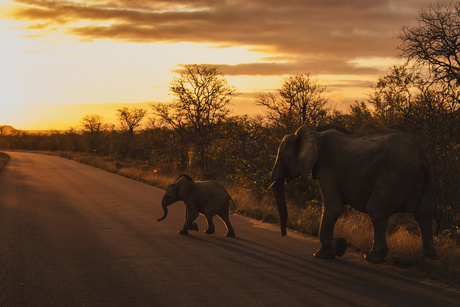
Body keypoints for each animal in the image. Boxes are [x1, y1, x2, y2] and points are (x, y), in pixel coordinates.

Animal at [270, 125, 438, 264]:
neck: (316, 135)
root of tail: (423, 159)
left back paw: (372, 258)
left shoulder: (326, 167)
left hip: (395, 177)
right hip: (421, 181)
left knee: (376, 210)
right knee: (423, 214)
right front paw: (327, 253)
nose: (284, 234)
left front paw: (339, 246)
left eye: (282, 158)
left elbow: (333, 206)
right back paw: (428, 258)